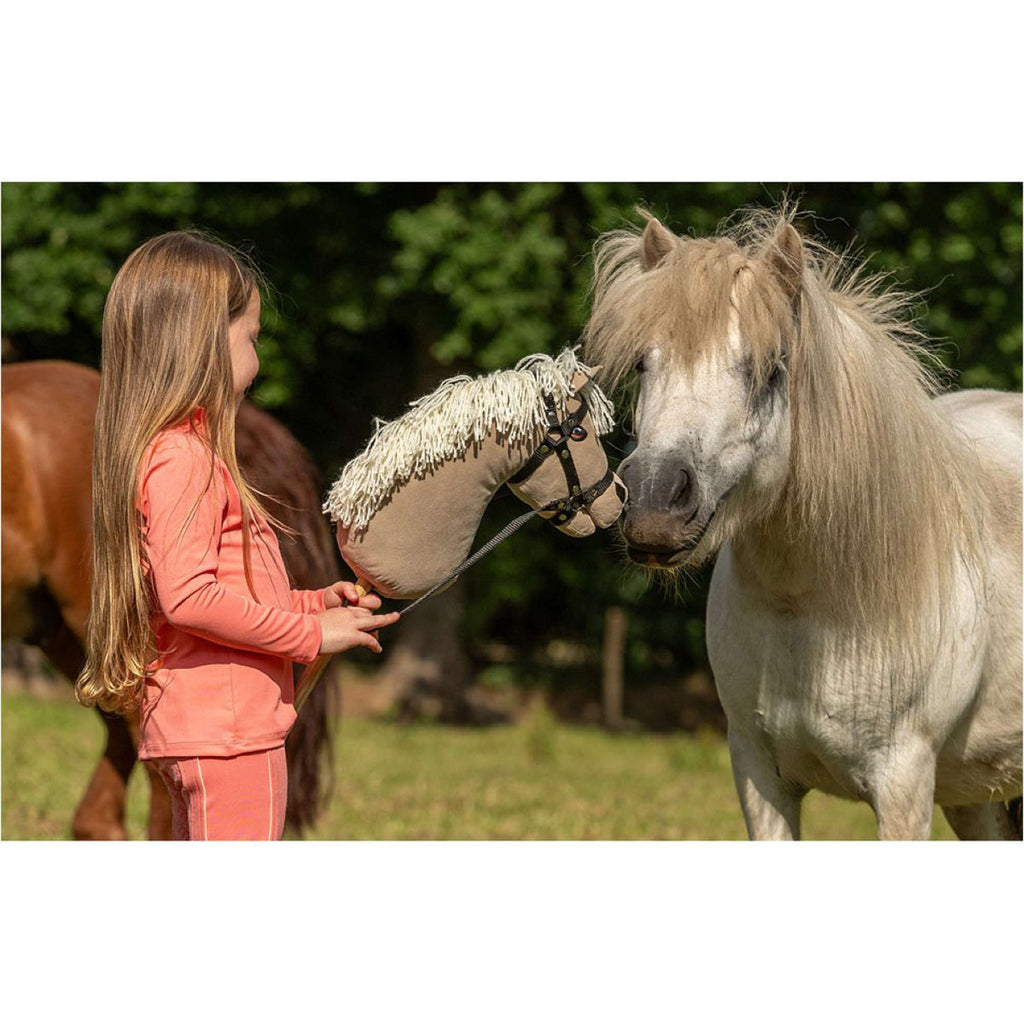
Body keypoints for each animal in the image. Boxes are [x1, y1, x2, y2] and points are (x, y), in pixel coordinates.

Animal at [584, 206, 1022, 840]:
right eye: (644, 363)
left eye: (769, 369)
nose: (652, 503)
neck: (810, 608)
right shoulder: (758, 776)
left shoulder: (904, 785)